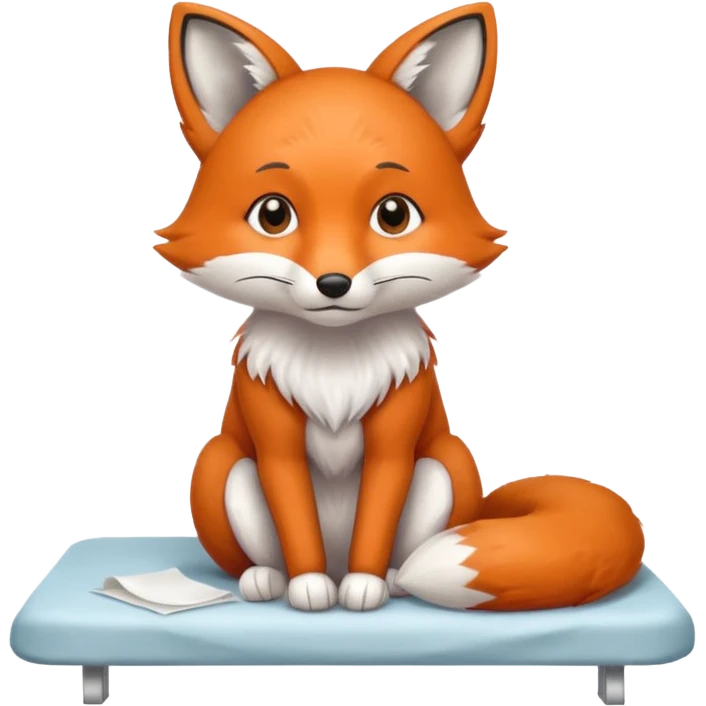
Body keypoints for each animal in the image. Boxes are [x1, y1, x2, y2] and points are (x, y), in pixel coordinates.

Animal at [154, 1, 646, 612]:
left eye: (393, 215)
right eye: (273, 215)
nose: (333, 283)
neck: (334, 368)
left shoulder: (396, 440)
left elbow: (377, 515)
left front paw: (363, 585)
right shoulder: (274, 445)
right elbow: (295, 522)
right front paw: (308, 586)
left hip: (445, 464)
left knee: (403, 540)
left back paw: (389, 578)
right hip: (222, 468)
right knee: (261, 548)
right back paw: (269, 578)